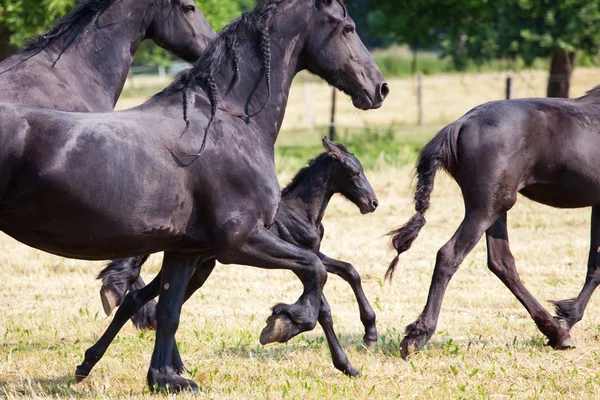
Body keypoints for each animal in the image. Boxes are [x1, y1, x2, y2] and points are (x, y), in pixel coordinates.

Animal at [74, 138, 376, 382]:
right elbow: (324, 309)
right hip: (196, 269)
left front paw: (369, 334)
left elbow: (350, 271)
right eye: (354, 171)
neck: (301, 211)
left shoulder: (316, 255)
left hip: (198, 271)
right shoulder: (302, 261)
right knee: (147, 303)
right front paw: (344, 361)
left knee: (147, 303)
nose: (372, 203)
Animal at [384, 85, 600, 360]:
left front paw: (566, 317)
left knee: (501, 262)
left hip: (496, 209)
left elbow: (594, 265)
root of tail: (461, 124)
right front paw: (568, 316)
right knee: (450, 254)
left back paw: (556, 332)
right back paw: (418, 335)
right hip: (487, 208)